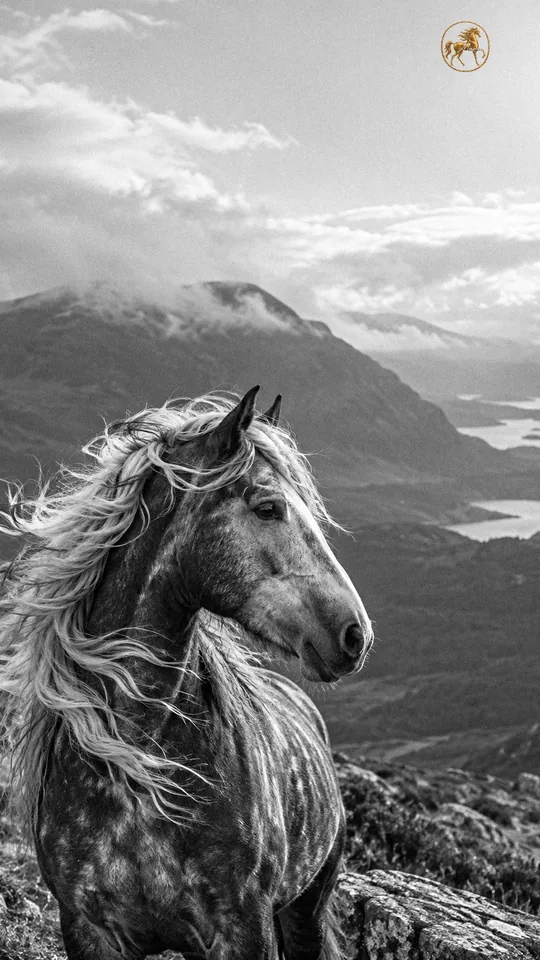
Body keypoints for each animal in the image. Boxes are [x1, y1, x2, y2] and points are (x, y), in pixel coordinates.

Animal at [0, 385, 374, 959]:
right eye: (268, 507)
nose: (356, 635)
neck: (137, 768)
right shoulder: (88, 927)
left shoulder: (244, 928)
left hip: (306, 909)